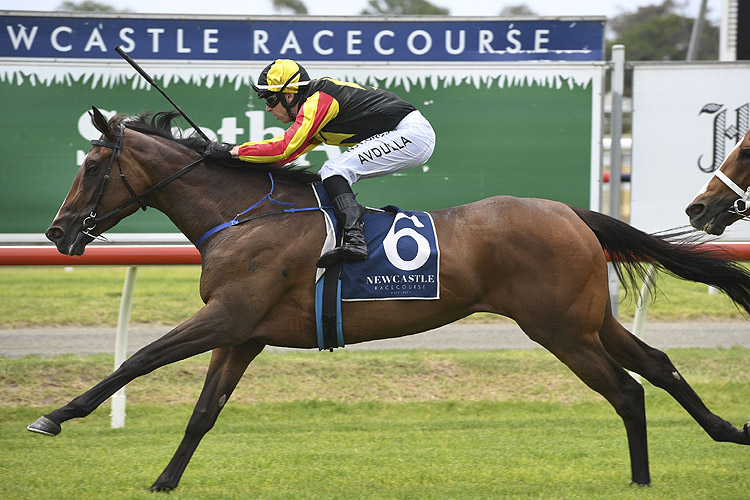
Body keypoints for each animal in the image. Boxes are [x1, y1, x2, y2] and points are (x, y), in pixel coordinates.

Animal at [29, 106, 750, 492]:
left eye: (92, 166)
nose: (57, 232)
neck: (245, 217)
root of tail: (572, 212)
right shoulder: (244, 333)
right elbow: (204, 412)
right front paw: (165, 481)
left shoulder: (227, 316)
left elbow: (139, 359)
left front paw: (56, 416)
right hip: (588, 318)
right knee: (658, 366)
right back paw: (725, 432)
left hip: (560, 329)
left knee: (627, 388)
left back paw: (643, 478)